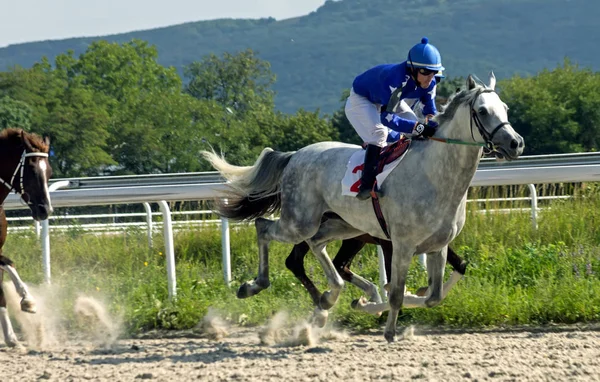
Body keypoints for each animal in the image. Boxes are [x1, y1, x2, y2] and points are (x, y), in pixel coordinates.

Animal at [204, 74, 524, 340]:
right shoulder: (401, 244)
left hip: (343, 226)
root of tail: (296, 155)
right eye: (482, 111)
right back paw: (255, 285)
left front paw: (369, 303)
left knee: (317, 246)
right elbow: (397, 291)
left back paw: (329, 297)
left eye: (505, 108)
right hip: (300, 221)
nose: (516, 143)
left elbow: (433, 296)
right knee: (265, 229)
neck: (435, 176)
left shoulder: (438, 245)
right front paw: (389, 327)